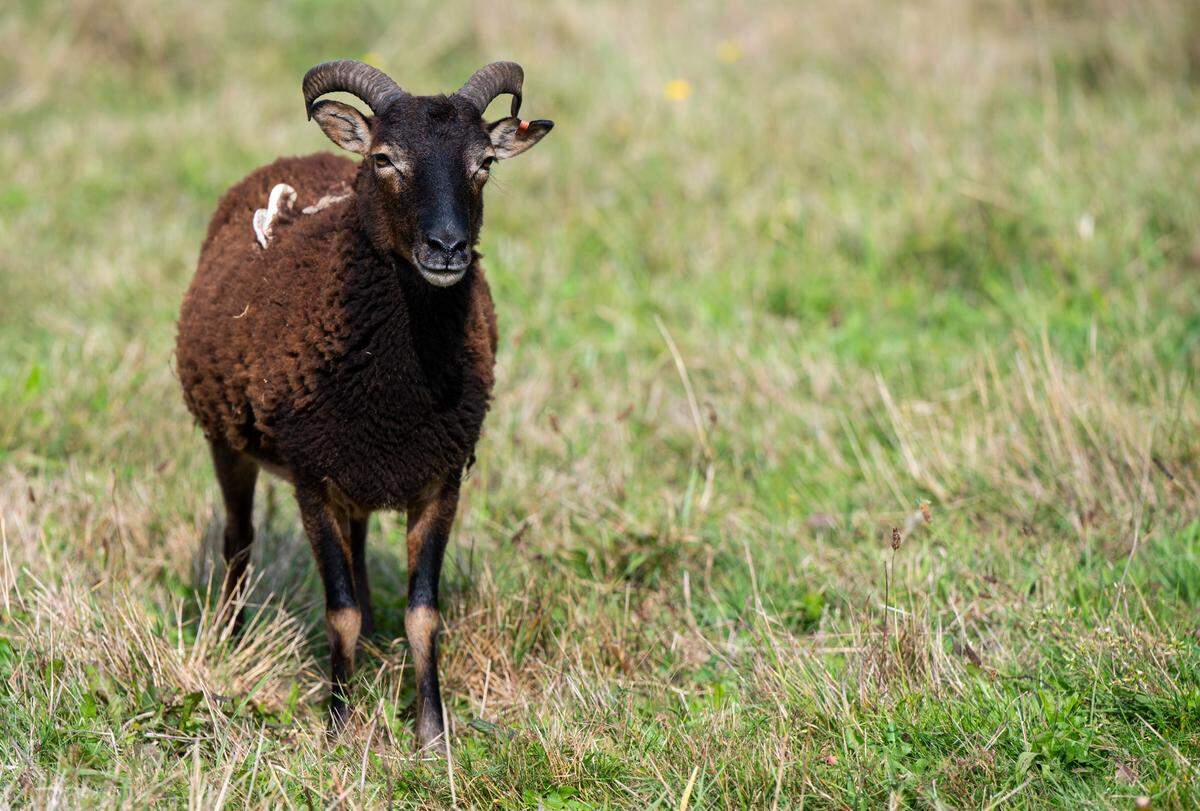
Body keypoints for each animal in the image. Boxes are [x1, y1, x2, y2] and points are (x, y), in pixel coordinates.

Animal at [175, 60, 553, 747]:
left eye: (485, 162)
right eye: (383, 158)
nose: (447, 249)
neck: (398, 389)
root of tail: (299, 155)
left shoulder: (439, 477)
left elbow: (424, 616)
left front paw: (432, 736)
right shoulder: (311, 478)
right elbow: (339, 611)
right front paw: (338, 727)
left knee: (356, 538)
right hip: (228, 440)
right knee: (238, 539)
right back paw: (231, 639)